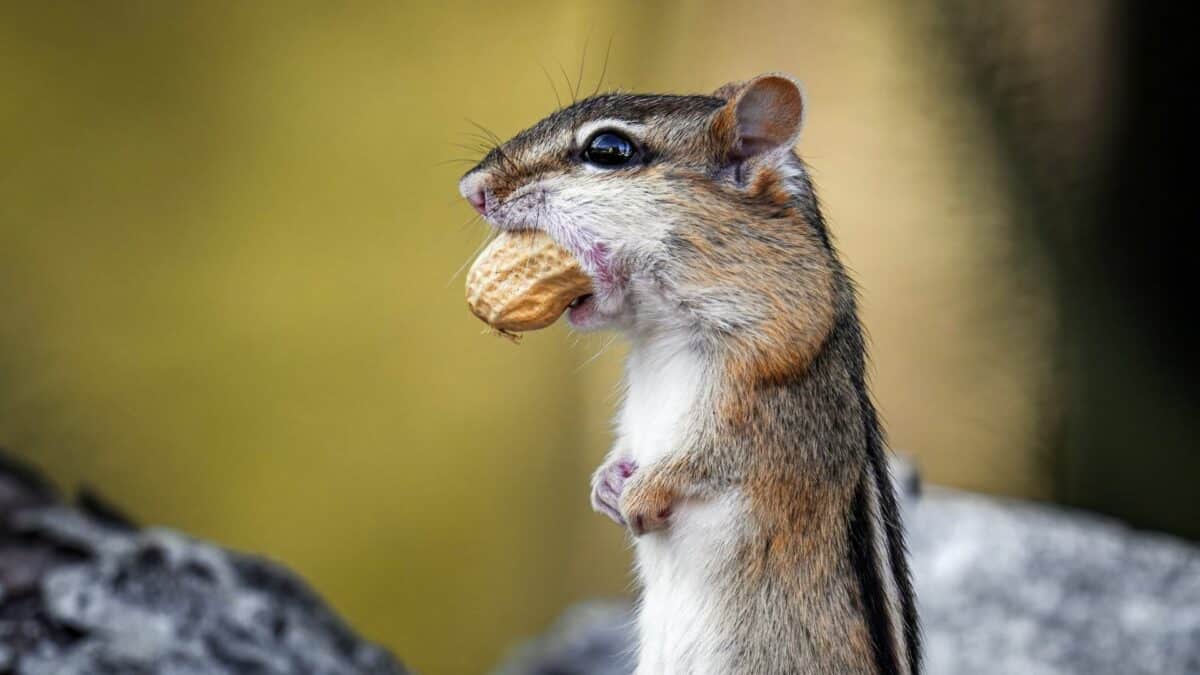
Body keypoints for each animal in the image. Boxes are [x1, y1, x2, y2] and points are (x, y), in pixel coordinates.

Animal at [459, 73, 920, 675]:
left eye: (608, 150)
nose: (471, 188)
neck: (663, 336)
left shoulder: (768, 399)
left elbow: (708, 458)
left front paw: (639, 496)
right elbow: (626, 446)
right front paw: (605, 486)